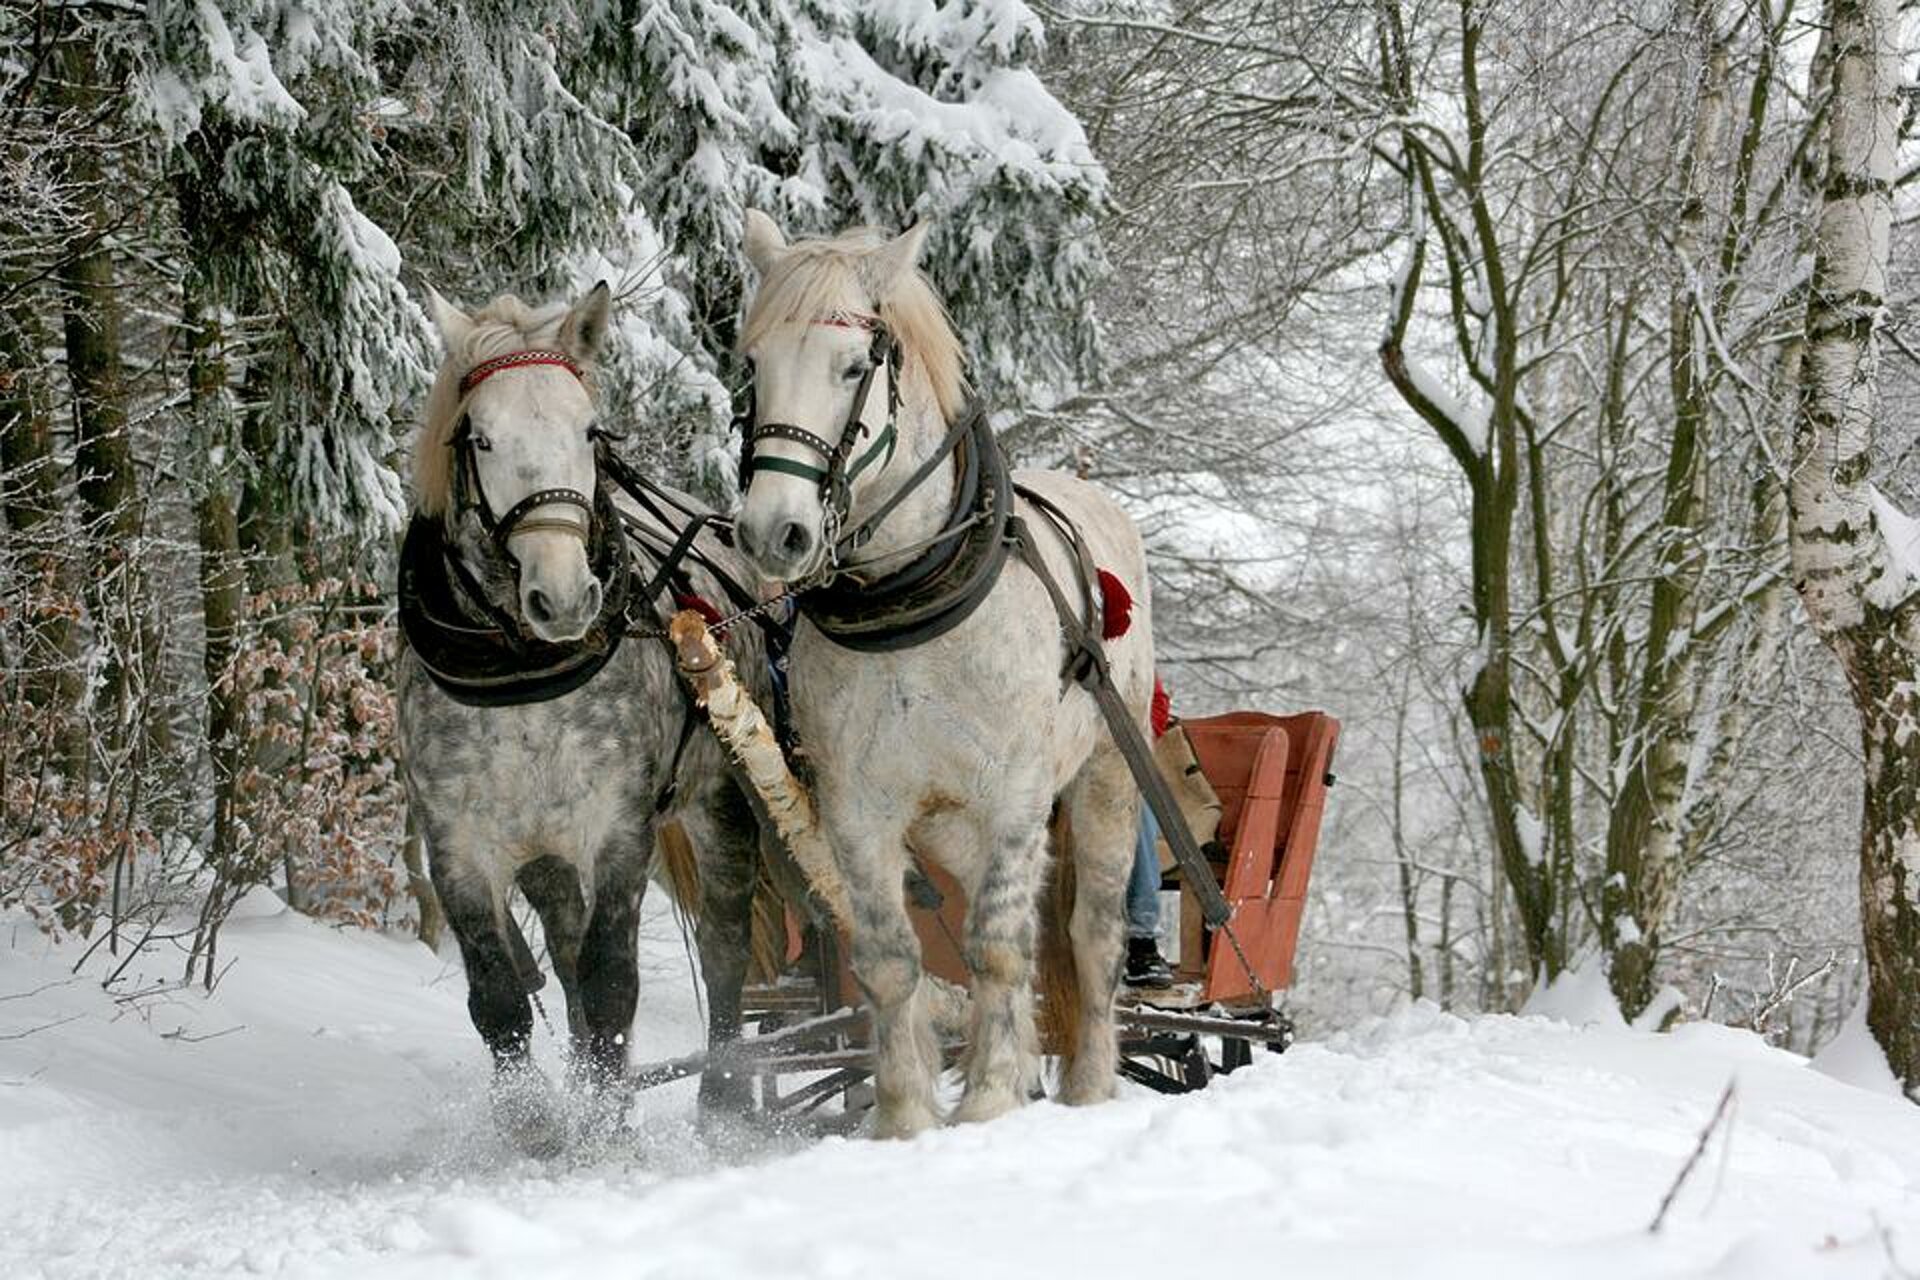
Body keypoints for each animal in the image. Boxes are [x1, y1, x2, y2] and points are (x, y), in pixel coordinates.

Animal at [729, 214, 1152, 1136]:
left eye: (854, 367)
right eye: (753, 364)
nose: (774, 533)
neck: (910, 602)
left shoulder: (1017, 795)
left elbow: (997, 945)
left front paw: (989, 1100)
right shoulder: (857, 808)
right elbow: (892, 958)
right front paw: (906, 1117)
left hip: (1104, 777)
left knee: (1089, 934)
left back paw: (1090, 1085)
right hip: (951, 823)